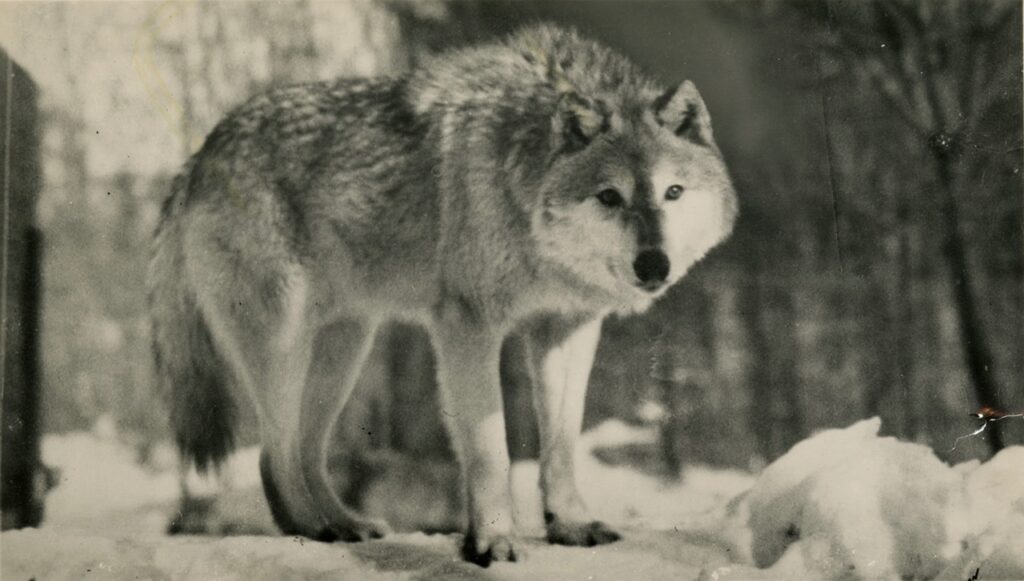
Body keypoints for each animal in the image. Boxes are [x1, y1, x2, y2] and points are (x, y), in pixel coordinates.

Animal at [147, 24, 737, 565]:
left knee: (307, 451)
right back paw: (314, 529)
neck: (522, 183)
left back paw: (344, 525)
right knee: (274, 456)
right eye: (609, 197)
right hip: (283, 346)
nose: (654, 264)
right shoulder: (467, 327)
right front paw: (491, 543)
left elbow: (562, 443)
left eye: (673, 192)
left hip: (345, 351)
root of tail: (199, 155)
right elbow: (491, 450)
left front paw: (569, 525)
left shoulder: (566, 328)